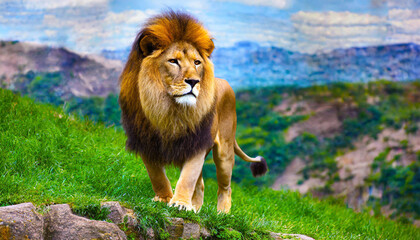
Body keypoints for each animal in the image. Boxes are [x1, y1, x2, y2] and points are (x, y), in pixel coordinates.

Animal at [120, 10, 268, 213]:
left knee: (225, 187)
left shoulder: (197, 141)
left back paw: (222, 214)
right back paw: (196, 208)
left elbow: (188, 177)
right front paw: (164, 199)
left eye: (197, 62)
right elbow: (157, 175)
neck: (170, 109)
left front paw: (180, 204)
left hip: (225, 152)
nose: (194, 81)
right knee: (201, 184)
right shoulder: (145, 140)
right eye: (173, 61)